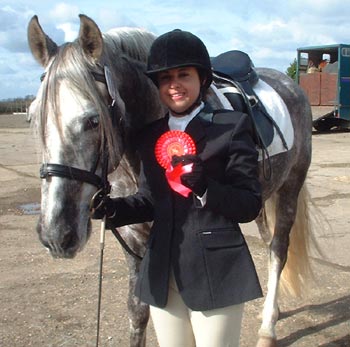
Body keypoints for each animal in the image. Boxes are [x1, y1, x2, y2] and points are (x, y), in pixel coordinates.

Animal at [26, 14, 312, 347]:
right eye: (32, 117)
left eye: (93, 120)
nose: (56, 235)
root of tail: (288, 83)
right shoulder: (135, 239)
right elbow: (137, 313)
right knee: (268, 243)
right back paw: (273, 311)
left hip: (291, 185)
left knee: (279, 248)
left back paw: (268, 328)